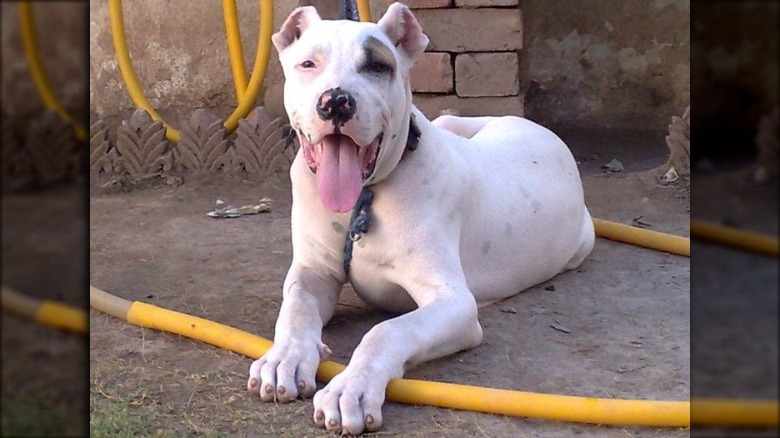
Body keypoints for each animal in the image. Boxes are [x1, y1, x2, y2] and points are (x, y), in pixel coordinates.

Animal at [247, 3, 596, 434]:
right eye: (308, 63)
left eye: (377, 66)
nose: (336, 102)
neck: (365, 200)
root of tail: (538, 128)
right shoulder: (312, 272)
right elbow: (295, 308)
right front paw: (285, 357)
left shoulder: (454, 303)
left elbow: (386, 331)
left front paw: (352, 387)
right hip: (449, 123)